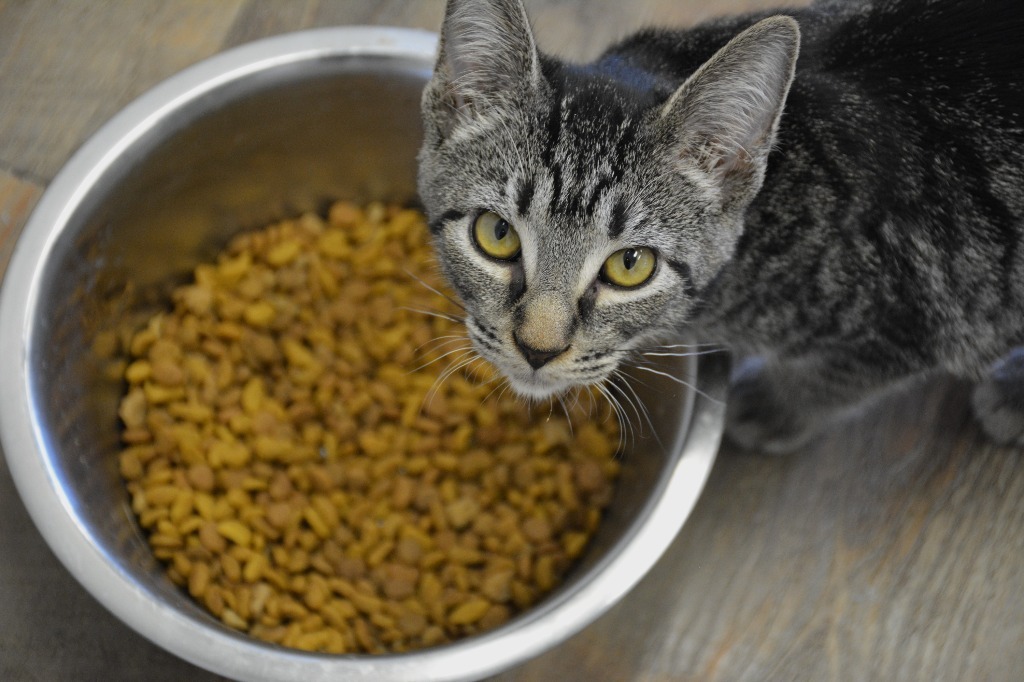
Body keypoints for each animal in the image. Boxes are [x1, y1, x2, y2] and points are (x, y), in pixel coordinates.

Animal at [415, 1, 1024, 456]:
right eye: (497, 234)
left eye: (630, 265)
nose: (538, 350)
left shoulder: (912, 313)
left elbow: (830, 378)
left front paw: (771, 409)